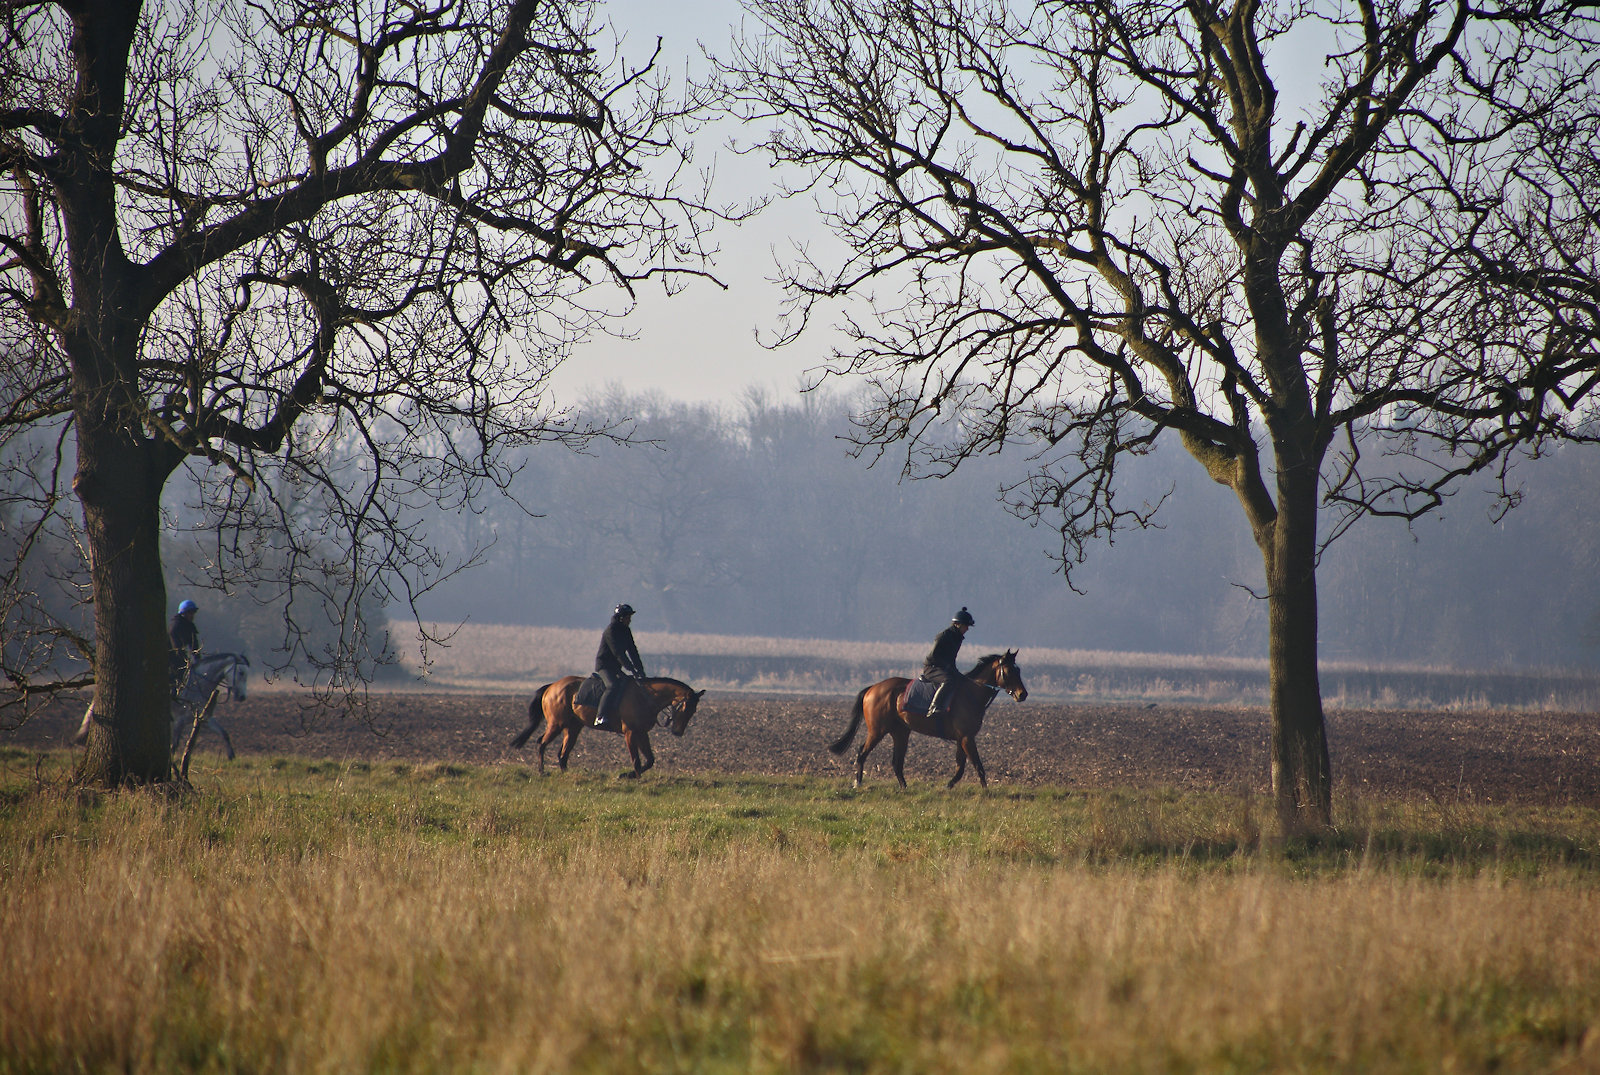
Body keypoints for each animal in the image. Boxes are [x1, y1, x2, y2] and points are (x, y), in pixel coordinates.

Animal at [73, 652, 251, 761]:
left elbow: (224, 733)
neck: (198, 685)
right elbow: (174, 746)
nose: (242, 697)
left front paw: (231, 755)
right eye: (241, 673)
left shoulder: (205, 719)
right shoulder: (179, 721)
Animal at [508, 675, 706, 778]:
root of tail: (552, 687)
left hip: (572, 728)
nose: (678, 732)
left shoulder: (642, 733)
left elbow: (650, 760)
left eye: (694, 710)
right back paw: (542, 771)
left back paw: (567, 774)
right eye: (686, 707)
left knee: (563, 754)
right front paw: (635, 778)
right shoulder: (630, 733)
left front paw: (630, 775)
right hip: (556, 724)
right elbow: (637, 759)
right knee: (541, 743)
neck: (646, 696)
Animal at [829, 650, 1027, 790]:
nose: (1022, 694)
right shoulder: (966, 738)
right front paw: (986, 791)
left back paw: (904, 787)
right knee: (862, 752)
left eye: (1018, 670)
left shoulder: (962, 738)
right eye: (1008, 671)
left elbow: (961, 767)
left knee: (896, 762)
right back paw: (858, 783)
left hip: (900, 732)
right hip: (878, 730)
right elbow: (977, 765)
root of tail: (872, 688)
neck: (971, 693)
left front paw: (948, 786)